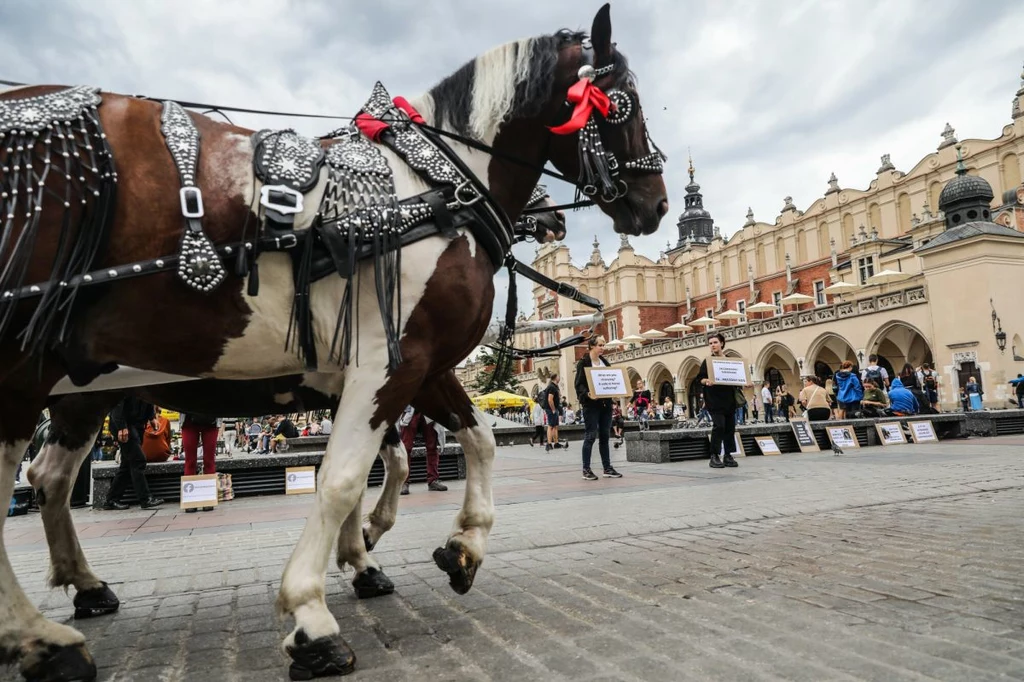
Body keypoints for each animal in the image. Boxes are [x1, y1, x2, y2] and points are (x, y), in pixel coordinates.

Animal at [0, 6, 663, 679]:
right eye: (626, 103)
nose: (655, 204)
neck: (429, 187)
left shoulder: (419, 367)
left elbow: (470, 442)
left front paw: (455, 547)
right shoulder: (388, 365)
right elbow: (343, 478)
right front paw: (313, 614)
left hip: (80, 389)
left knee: (49, 477)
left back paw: (83, 589)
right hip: (23, 366)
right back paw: (40, 638)